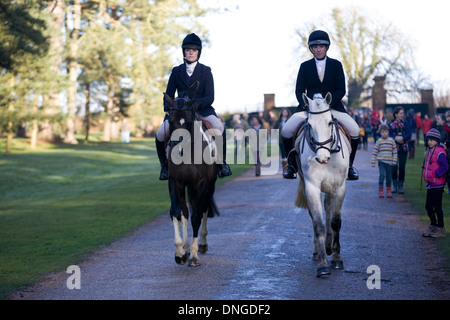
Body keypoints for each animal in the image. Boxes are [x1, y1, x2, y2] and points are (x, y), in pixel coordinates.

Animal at [165, 91, 221, 266]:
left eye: (189, 121)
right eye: (171, 121)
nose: (178, 151)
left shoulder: (202, 184)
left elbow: (196, 216)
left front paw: (195, 255)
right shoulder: (175, 183)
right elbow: (177, 213)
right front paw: (180, 252)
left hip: (209, 186)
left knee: (203, 209)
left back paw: (201, 244)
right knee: (185, 213)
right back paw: (186, 247)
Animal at [294, 92, 350, 278]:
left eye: (329, 122)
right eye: (309, 125)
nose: (322, 158)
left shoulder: (339, 188)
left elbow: (335, 222)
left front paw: (337, 259)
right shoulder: (312, 187)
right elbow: (318, 224)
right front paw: (323, 265)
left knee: (329, 212)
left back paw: (328, 245)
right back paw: (319, 251)